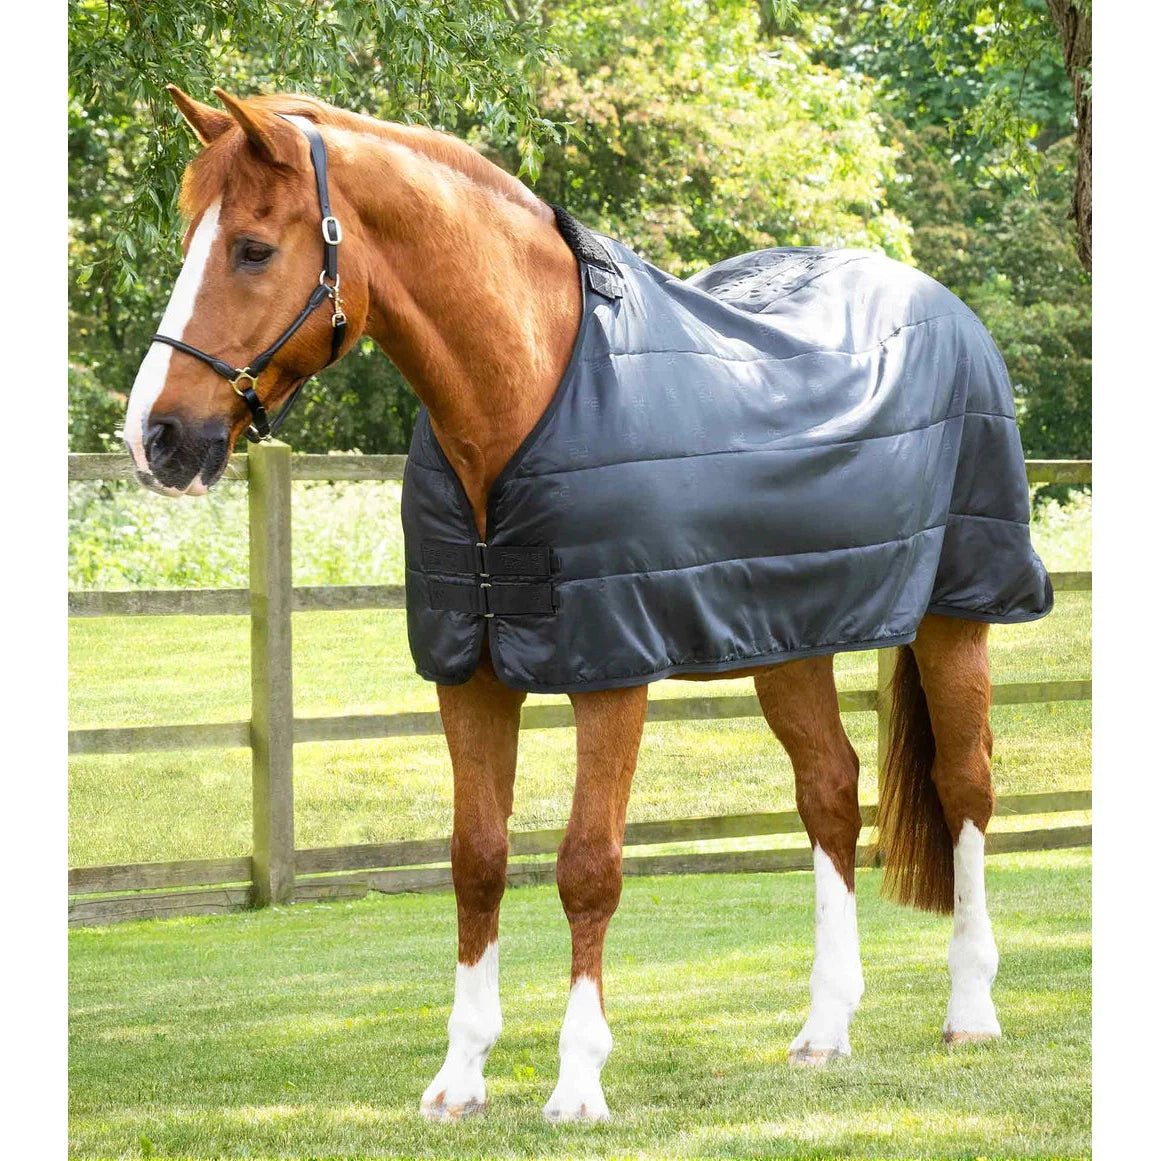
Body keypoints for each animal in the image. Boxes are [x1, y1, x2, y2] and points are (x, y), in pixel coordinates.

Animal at [124, 87, 1048, 1123]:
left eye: (251, 248)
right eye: (191, 237)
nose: (154, 436)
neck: (527, 394)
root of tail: (945, 308)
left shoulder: (611, 669)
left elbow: (586, 866)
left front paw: (576, 1081)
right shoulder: (469, 672)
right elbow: (477, 858)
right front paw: (459, 1076)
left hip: (955, 613)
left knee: (965, 786)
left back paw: (970, 1010)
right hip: (787, 637)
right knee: (829, 792)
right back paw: (823, 1028)